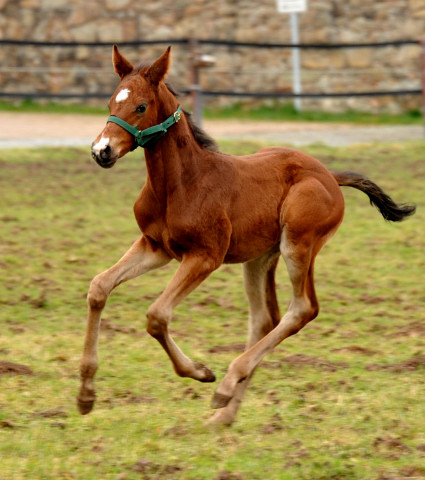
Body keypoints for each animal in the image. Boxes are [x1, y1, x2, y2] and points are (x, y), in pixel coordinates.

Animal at [78, 47, 416, 426]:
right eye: (111, 101)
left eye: (140, 106)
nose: (102, 150)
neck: (181, 183)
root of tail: (330, 175)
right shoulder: (155, 247)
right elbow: (99, 287)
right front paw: (86, 394)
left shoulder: (205, 256)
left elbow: (157, 315)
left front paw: (200, 371)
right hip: (259, 258)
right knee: (264, 318)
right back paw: (225, 415)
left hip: (298, 243)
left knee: (302, 308)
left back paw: (226, 385)